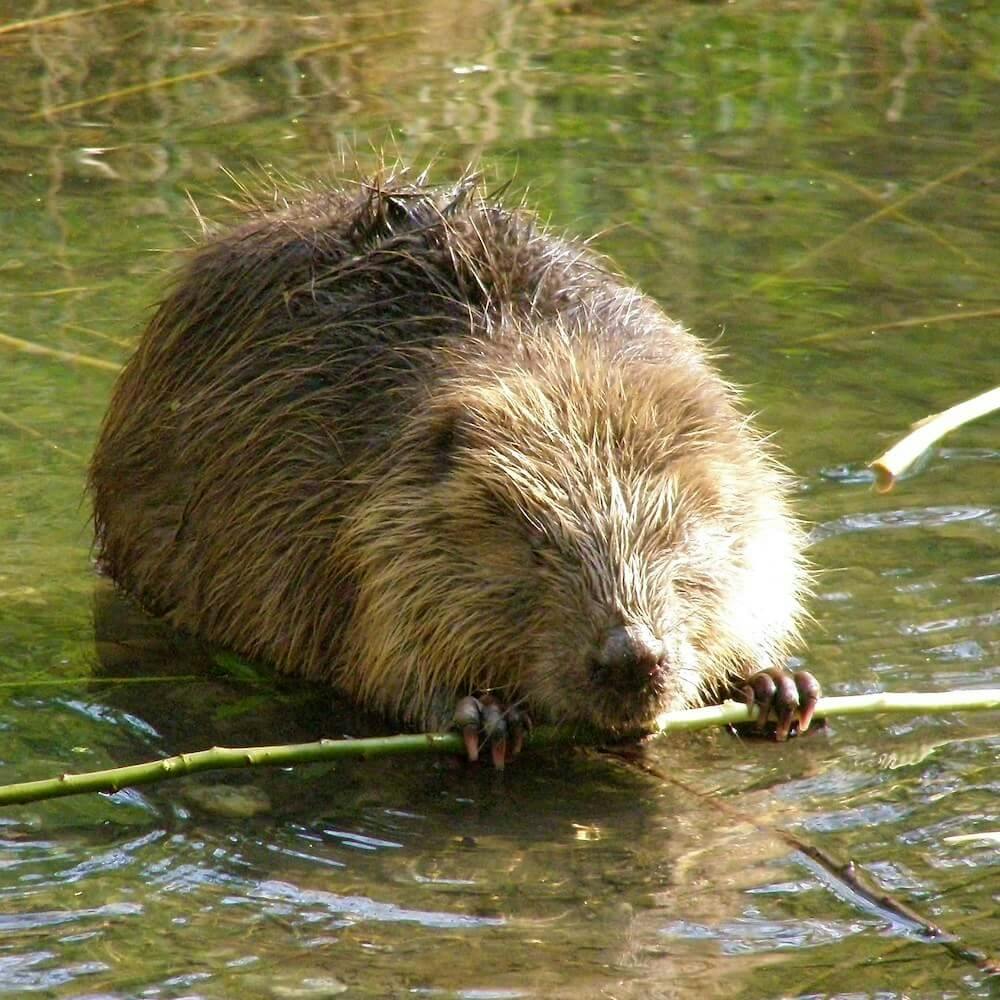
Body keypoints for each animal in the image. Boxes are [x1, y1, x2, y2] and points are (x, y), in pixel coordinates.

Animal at [90, 168, 816, 760]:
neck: (550, 359)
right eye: (535, 545)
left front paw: (780, 684)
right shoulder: (332, 517)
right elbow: (377, 651)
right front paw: (483, 714)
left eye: (676, 538)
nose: (630, 655)